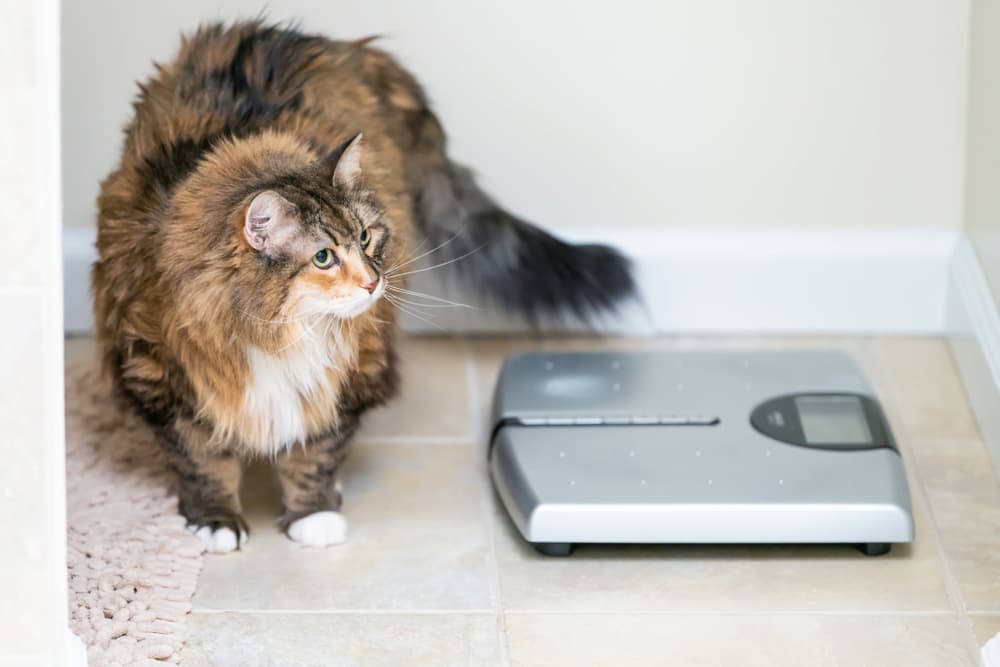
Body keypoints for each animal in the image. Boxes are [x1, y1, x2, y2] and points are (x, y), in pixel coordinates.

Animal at [92, 19, 632, 552]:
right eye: (323, 258)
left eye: (367, 237)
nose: (374, 283)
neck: (280, 336)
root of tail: (342, 44)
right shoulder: (159, 370)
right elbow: (200, 457)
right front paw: (215, 521)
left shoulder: (354, 369)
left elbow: (317, 447)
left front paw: (313, 514)